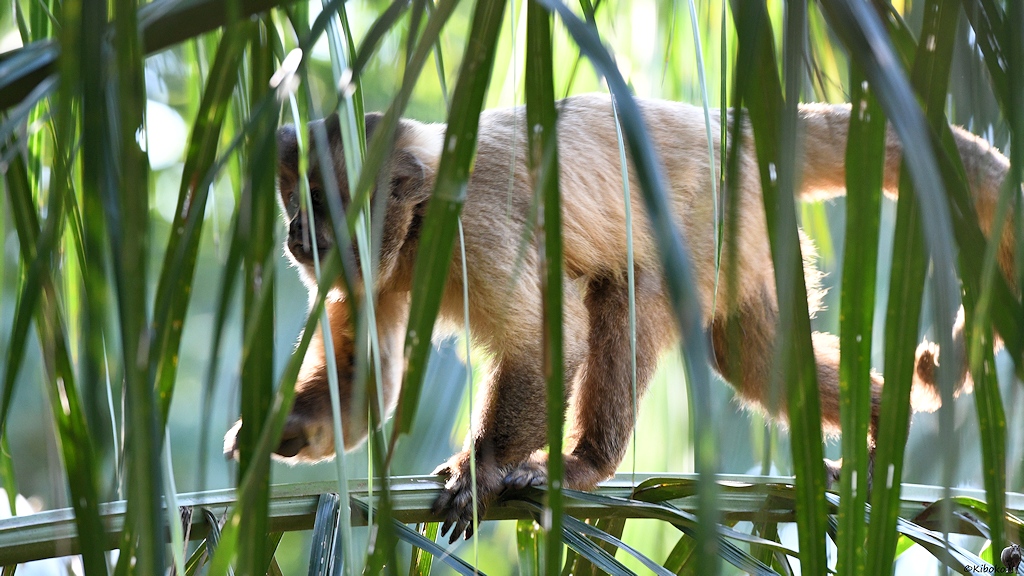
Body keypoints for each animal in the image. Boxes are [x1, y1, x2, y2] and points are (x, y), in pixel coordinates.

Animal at [224, 94, 1015, 542]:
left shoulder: (470, 225)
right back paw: (883, 427)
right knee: (751, 355)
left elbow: (549, 336)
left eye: (320, 201)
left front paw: (482, 469)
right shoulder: (380, 269)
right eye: (294, 197)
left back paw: (586, 464)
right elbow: (367, 383)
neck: (415, 226)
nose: (295, 232)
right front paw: (286, 428)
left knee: (629, 295)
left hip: (707, 216)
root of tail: (728, 126)